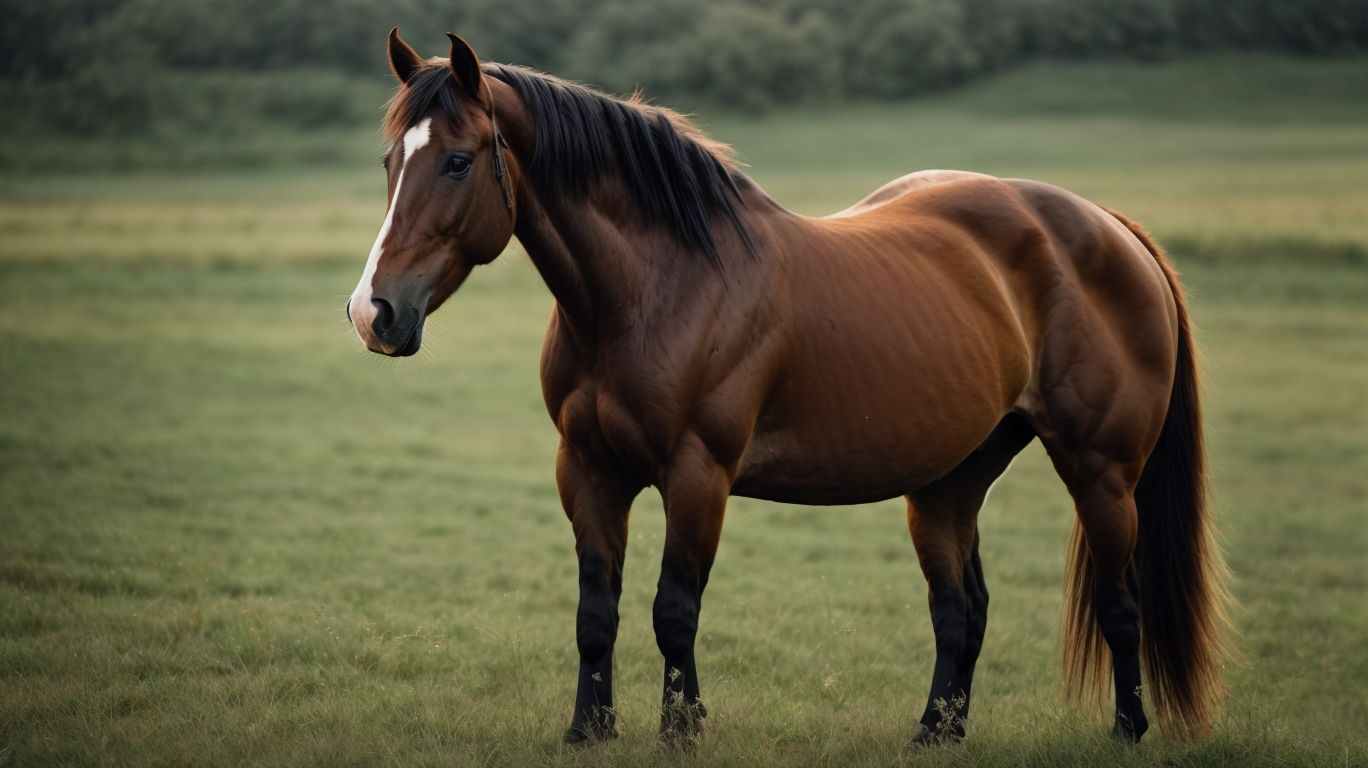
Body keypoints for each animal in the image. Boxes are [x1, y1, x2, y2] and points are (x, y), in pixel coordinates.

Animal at [345, 29, 1231, 747]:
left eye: (458, 160)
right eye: (390, 162)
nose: (372, 312)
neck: (657, 288)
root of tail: (1110, 226)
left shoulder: (698, 474)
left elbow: (674, 610)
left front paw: (682, 732)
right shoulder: (587, 471)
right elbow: (596, 612)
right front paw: (588, 732)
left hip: (1100, 472)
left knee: (1120, 605)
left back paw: (1126, 732)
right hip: (950, 481)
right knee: (962, 609)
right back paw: (934, 735)